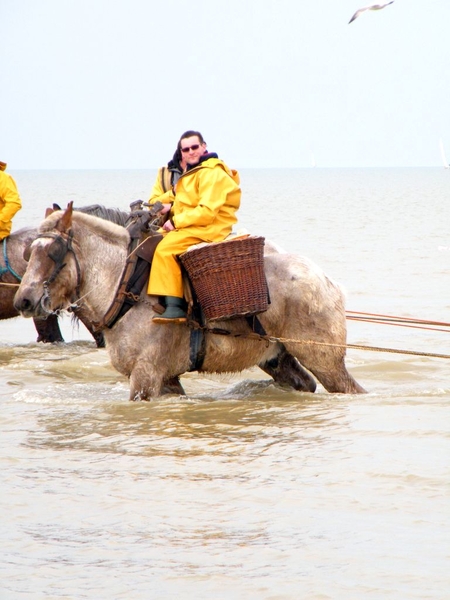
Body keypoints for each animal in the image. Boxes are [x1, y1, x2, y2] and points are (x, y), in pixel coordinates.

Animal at [14, 204, 366, 400]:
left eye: (53, 252)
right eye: (28, 252)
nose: (24, 301)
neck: (126, 287)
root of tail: (328, 282)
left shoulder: (146, 375)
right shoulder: (166, 379)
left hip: (325, 361)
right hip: (277, 358)